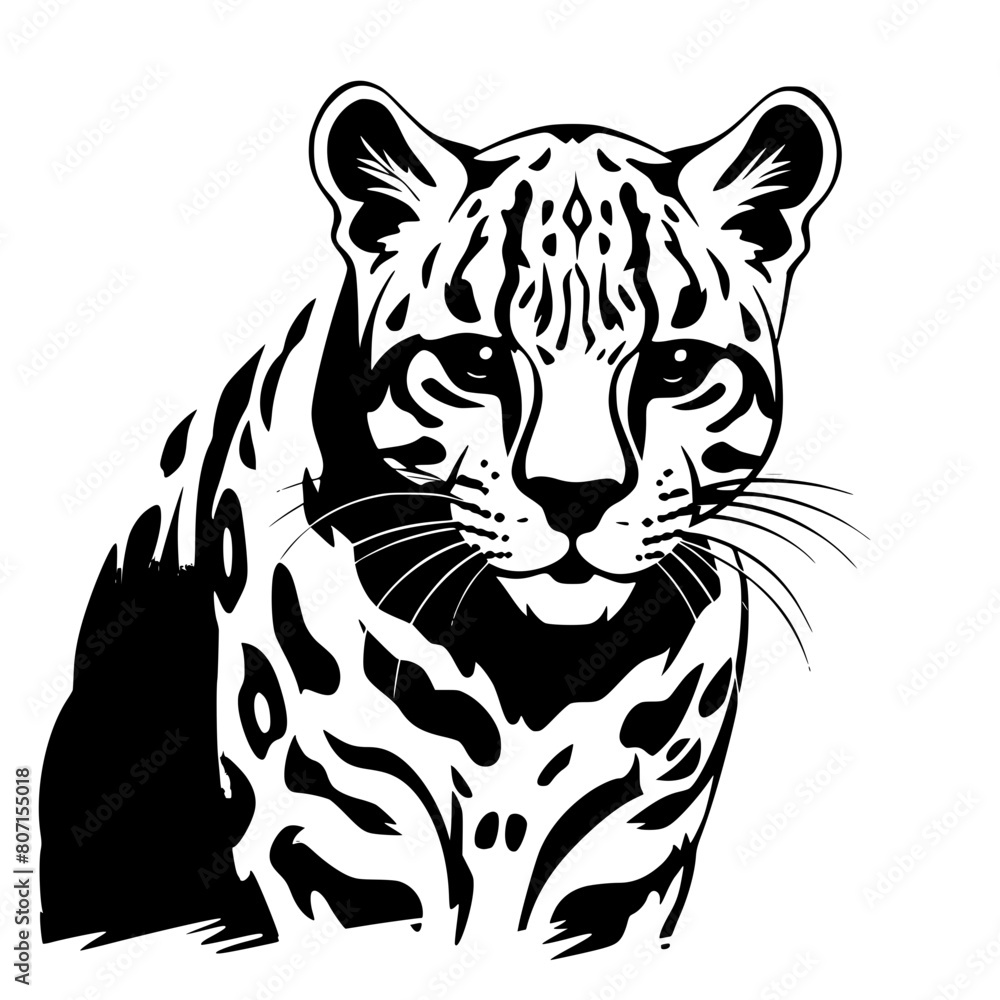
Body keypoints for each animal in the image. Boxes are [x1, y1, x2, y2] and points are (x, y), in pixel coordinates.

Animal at [39, 81, 841, 959]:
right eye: (477, 362)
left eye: (677, 367)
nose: (577, 494)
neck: (532, 669)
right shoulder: (339, 849)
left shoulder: (623, 868)